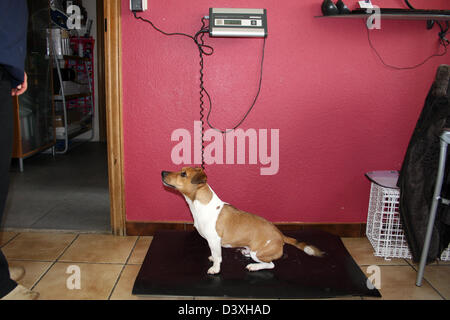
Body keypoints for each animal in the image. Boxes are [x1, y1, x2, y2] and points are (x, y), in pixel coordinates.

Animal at [162, 168, 324, 276]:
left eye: (183, 174)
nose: (163, 172)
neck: (202, 205)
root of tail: (281, 235)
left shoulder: (214, 240)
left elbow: (218, 257)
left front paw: (215, 268)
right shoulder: (213, 243)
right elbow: (214, 254)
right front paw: (213, 258)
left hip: (257, 253)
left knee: (270, 265)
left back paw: (254, 266)